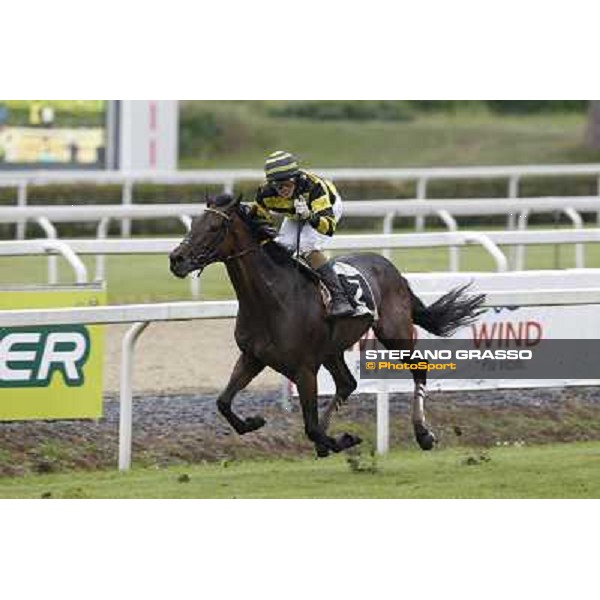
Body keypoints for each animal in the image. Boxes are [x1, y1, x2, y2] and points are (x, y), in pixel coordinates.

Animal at [166, 195, 486, 458]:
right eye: (194, 223)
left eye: (214, 227)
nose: (176, 259)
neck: (271, 299)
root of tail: (391, 268)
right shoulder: (253, 357)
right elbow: (223, 402)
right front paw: (253, 422)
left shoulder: (304, 368)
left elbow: (310, 428)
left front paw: (342, 440)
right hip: (332, 349)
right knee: (347, 383)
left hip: (394, 332)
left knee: (418, 367)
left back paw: (423, 434)